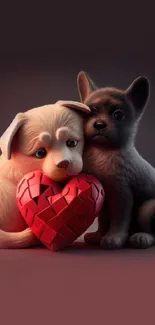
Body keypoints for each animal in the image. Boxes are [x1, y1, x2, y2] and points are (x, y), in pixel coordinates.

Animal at [77, 71, 155, 248]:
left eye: (118, 115)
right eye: (90, 112)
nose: (99, 124)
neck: (103, 151)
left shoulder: (121, 196)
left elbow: (119, 220)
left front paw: (114, 238)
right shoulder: (102, 199)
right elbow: (103, 220)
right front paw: (99, 236)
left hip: (147, 209)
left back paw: (142, 238)